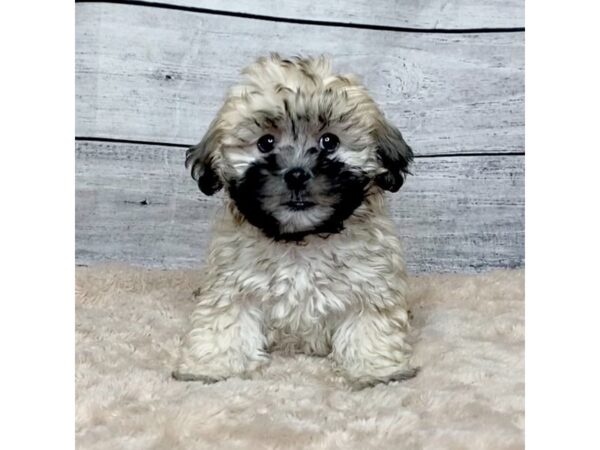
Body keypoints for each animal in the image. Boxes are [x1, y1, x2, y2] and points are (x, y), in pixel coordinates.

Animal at [173, 55, 418, 386]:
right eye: (265, 143)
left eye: (329, 141)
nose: (297, 174)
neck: (301, 241)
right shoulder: (232, 285)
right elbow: (225, 323)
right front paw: (210, 367)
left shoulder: (371, 284)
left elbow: (368, 326)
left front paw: (374, 370)